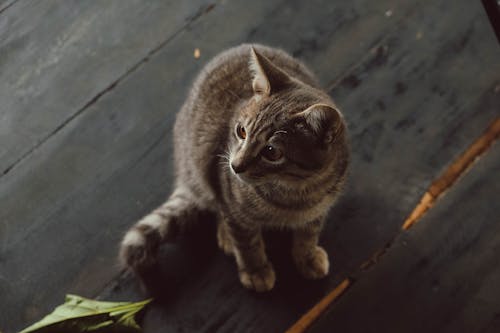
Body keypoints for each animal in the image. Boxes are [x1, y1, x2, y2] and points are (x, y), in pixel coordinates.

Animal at [119, 43, 350, 290]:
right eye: (241, 131)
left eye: (272, 152)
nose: (235, 165)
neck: (296, 191)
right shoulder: (231, 202)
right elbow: (247, 243)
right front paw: (255, 270)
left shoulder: (318, 211)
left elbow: (308, 234)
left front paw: (307, 257)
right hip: (199, 167)